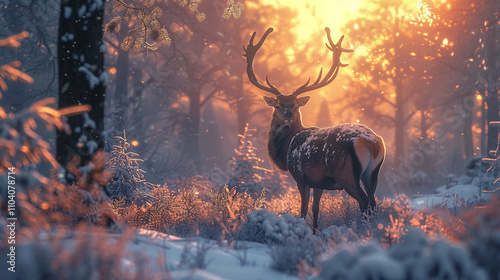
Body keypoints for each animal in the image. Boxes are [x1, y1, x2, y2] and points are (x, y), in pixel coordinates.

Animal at [243, 26, 386, 232]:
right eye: (277, 105)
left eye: (295, 105)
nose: (288, 115)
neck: (285, 150)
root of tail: (370, 143)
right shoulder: (319, 181)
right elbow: (316, 209)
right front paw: (315, 231)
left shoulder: (300, 176)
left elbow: (303, 210)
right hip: (372, 173)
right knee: (374, 203)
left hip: (346, 173)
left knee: (365, 202)